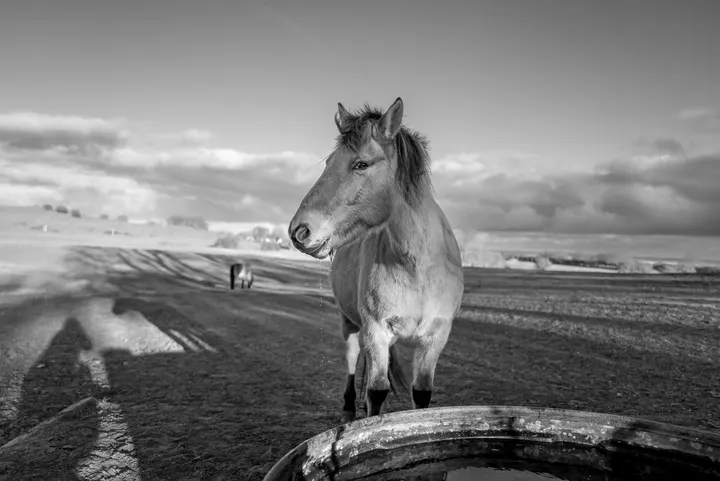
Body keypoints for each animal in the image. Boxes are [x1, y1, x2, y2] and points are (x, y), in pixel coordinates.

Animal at [288, 97, 465, 423]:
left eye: (361, 164)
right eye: (329, 163)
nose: (299, 230)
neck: (416, 268)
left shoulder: (435, 337)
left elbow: (421, 393)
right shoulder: (375, 331)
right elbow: (376, 392)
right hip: (350, 325)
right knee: (351, 361)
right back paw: (348, 411)